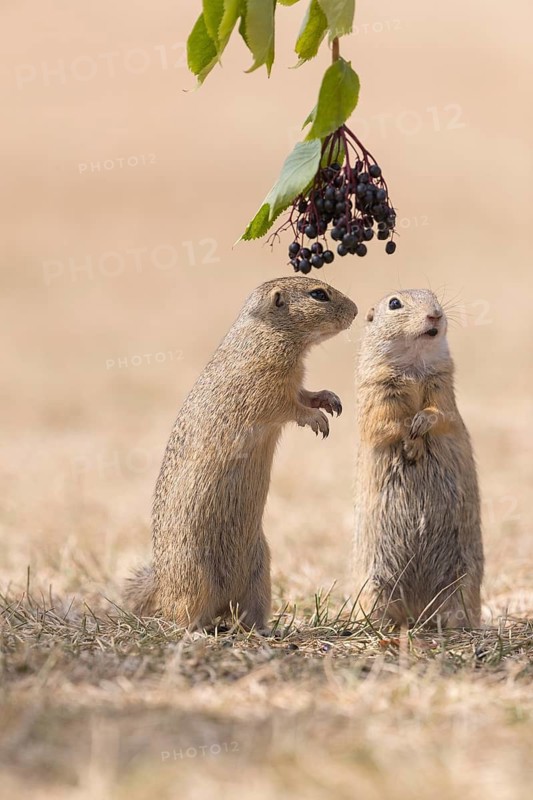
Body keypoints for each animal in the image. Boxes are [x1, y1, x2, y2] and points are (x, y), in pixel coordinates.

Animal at [124, 276, 357, 630]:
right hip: (195, 577)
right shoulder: (266, 389)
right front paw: (316, 419)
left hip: (260, 573)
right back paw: (196, 631)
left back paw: (265, 631)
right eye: (318, 294)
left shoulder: (292, 382)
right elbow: (290, 406)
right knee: (181, 615)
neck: (266, 336)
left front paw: (329, 400)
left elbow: (305, 393)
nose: (357, 311)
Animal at [353, 289, 484, 628]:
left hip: (464, 580)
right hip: (373, 584)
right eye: (394, 303)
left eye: (434, 296)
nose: (436, 314)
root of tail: (415, 612)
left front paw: (420, 427)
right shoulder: (377, 391)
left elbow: (440, 413)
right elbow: (387, 424)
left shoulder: (442, 385)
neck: (413, 365)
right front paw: (410, 441)